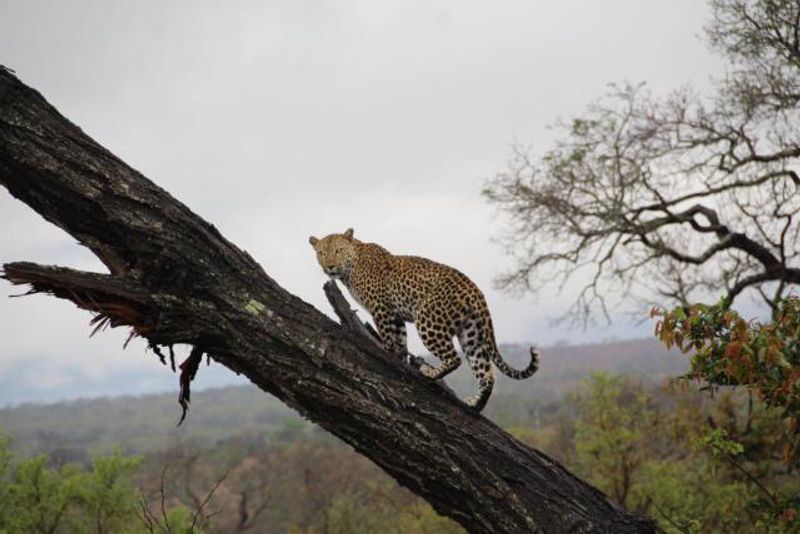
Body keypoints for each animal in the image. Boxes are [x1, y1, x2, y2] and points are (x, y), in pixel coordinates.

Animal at [310, 228, 540, 412]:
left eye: (338, 250)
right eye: (321, 253)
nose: (330, 266)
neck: (351, 267)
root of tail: (475, 290)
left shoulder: (381, 309)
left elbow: (388, 338)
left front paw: (385, 353)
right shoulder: (396, 315)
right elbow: (400, 341)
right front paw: (400, 361)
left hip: (427, 320)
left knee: (454, 358)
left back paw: (429, 373)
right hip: (471, 334)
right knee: (486, 374)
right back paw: (475, 405)